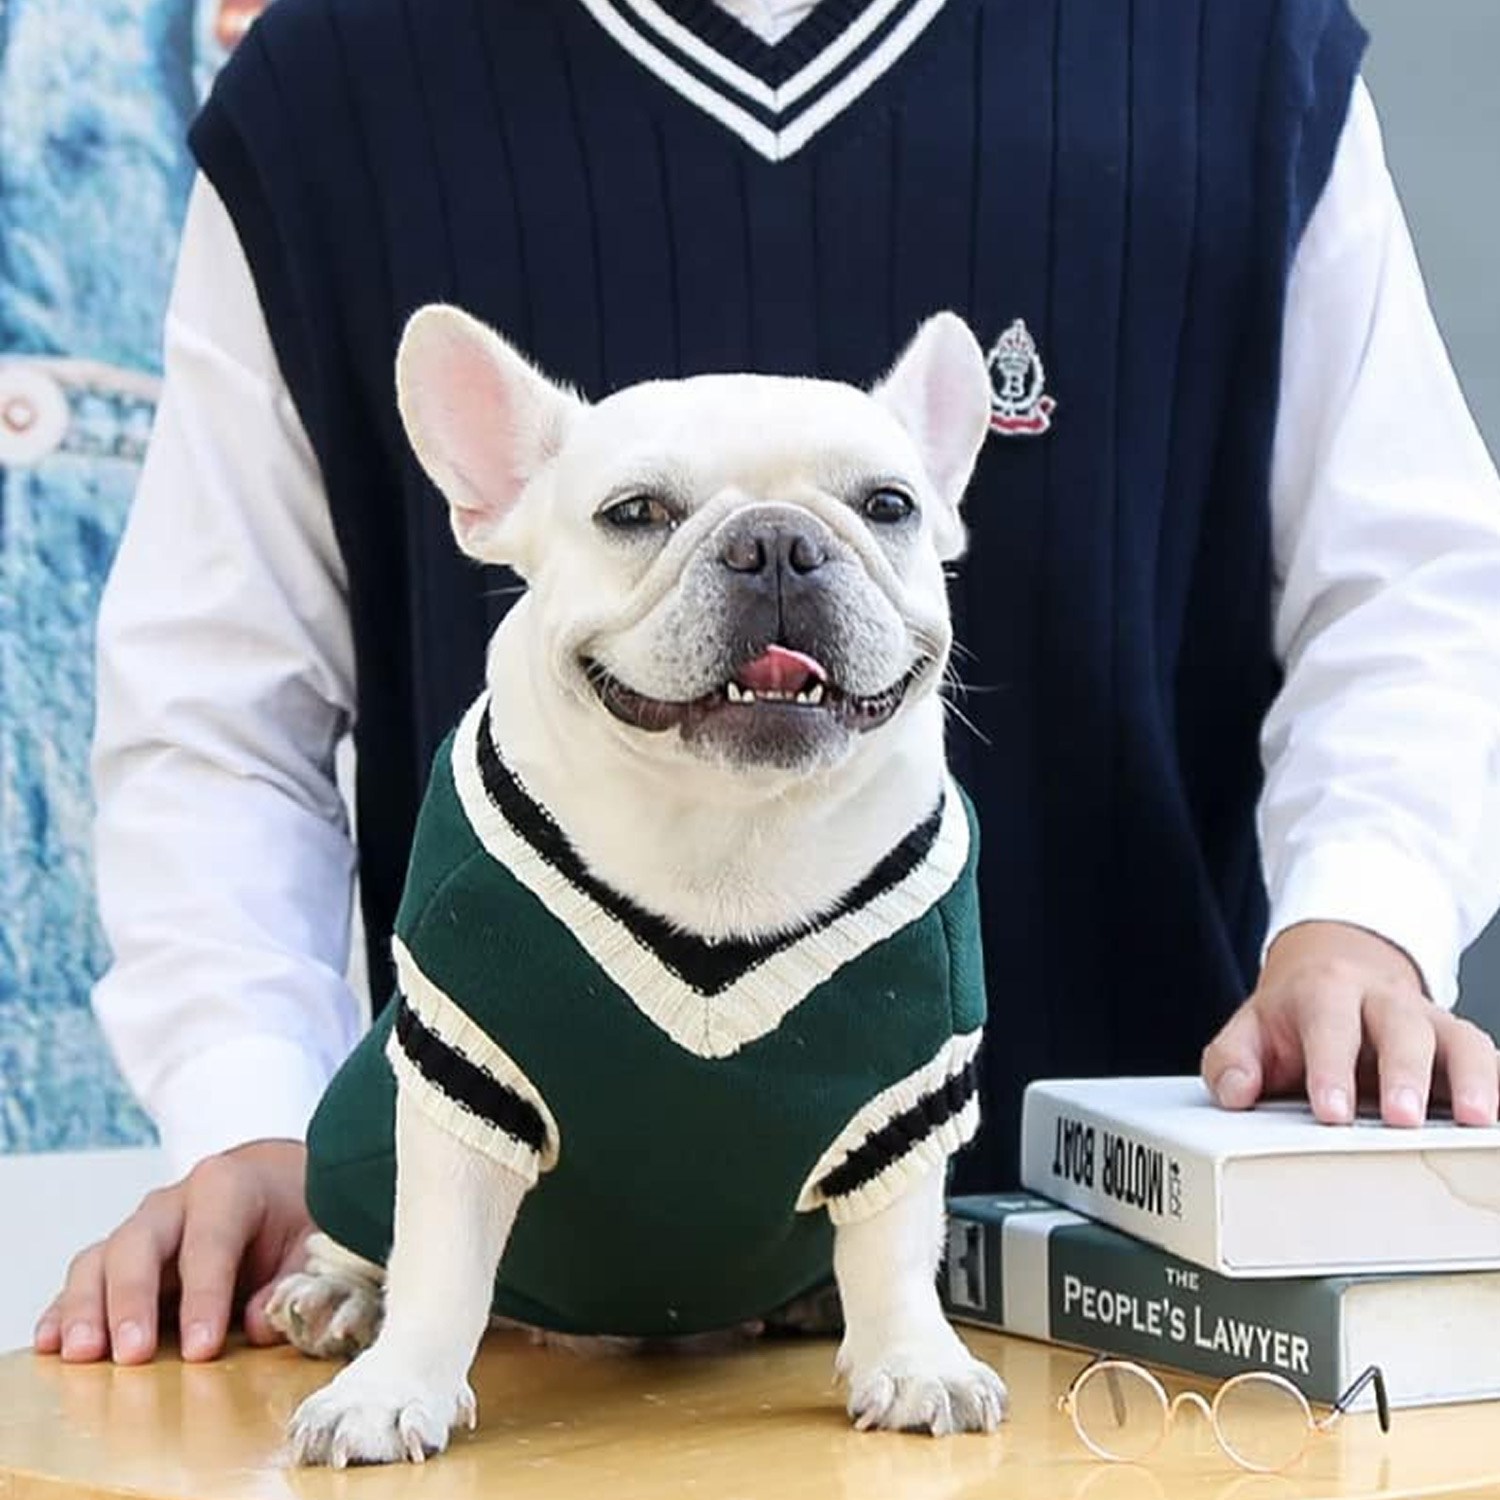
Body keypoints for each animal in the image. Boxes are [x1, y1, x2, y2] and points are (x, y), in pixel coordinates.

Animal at [267, 305, 1007, 1466]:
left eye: (888, 505)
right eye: (636, 514)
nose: (777, 542)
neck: (729, 829)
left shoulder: (906, 1091)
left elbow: (893, 1240)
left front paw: (914, 1357)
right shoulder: (465, 1075)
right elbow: (438, 1254)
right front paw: (393, 1386)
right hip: (350, 1121)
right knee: (362, 1225)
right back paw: (338, 1295)